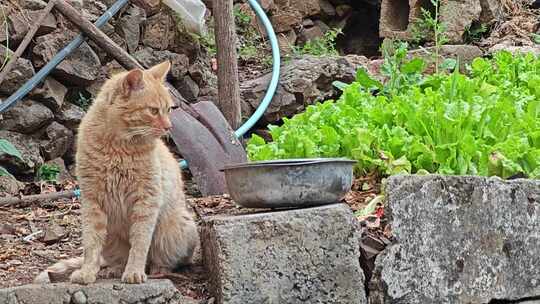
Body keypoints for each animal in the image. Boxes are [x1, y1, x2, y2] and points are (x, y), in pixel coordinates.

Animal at [33, 60, 199, 284]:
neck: (118, 146)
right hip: (112, 238)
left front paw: (134, 272)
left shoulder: (146, 200)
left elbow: (140, 242)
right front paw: (87, 272)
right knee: (116, 258)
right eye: (154, 111)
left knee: (166, 259)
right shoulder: (92, 200)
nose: (169, 127)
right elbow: (91, 243)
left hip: (175, 230)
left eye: (168, 110)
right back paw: (112, 269)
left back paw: (157, 269)